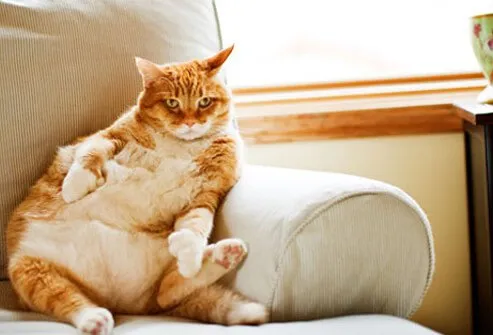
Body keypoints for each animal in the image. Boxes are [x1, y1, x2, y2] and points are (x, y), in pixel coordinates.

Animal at [5, 45, 268, 335]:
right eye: (172, 103)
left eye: (204, 102)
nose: (190, 123)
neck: (182, 146)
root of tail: (121, 302)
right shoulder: (110, 136)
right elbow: (89, 155)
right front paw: (74, 187)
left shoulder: (206, 195)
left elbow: (195, 227)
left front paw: (190, 256)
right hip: (30, 270)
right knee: (70, 300)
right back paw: (94, 318)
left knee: (167, 291)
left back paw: (223, 255)